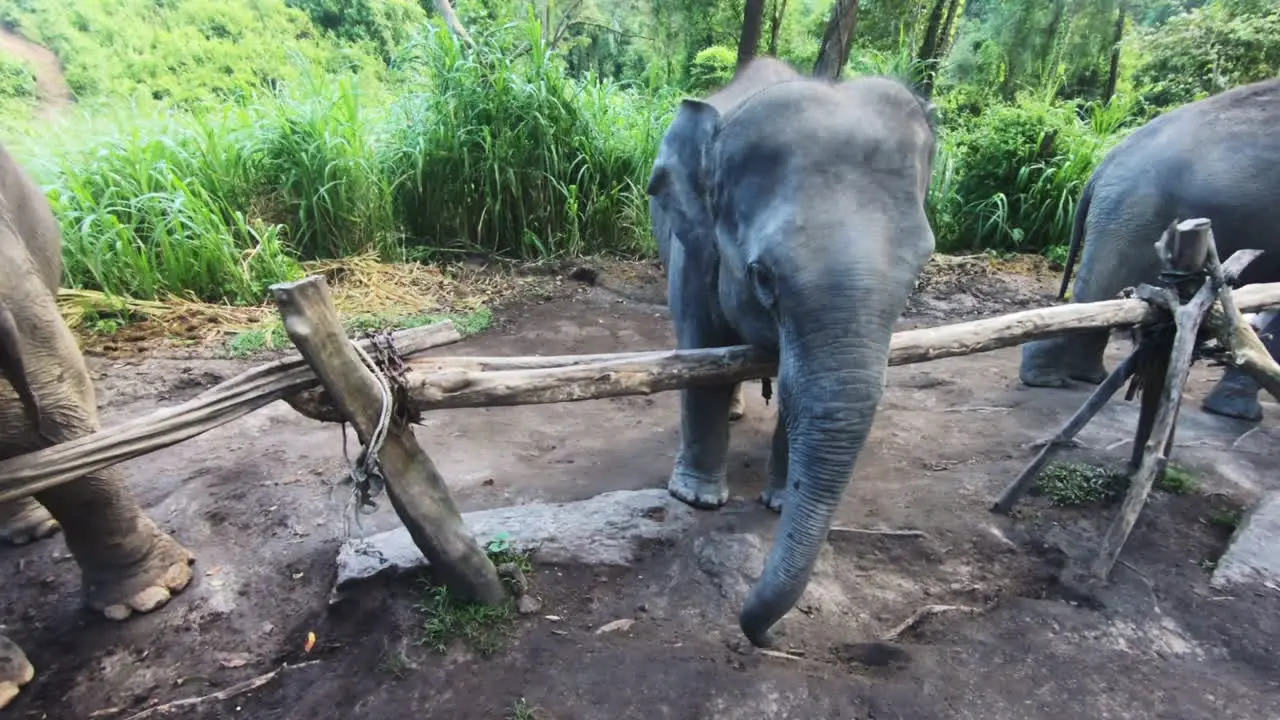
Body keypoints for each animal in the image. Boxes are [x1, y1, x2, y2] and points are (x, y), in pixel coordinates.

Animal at [650, 58, 942, 645]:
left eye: (920, 270)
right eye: (762, 276)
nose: (762, 636)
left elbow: (794, 384)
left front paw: (778, 502)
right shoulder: (693, 247)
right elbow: (701, 351)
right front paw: (696, 501)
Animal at [1018, 76, 1280, 420]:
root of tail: (1104, 164)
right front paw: (1239, 413)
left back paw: (1080, 377)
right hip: (1139, 216)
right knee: (1104, 287)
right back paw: (1054, 379)